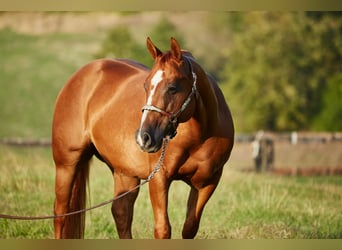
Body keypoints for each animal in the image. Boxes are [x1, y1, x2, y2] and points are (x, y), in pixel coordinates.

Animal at [53, 37, 234, 238]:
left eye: (172, 88)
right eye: (146, 86)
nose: (143, 138)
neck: (199, 136)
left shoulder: (207, 183)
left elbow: (189, 228)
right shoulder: (158, 178)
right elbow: (163, 229)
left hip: (124, 172)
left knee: (121, 213)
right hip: (67, 164)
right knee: (61, 213)